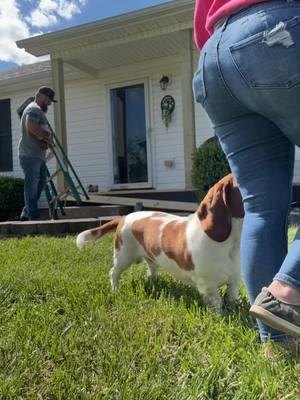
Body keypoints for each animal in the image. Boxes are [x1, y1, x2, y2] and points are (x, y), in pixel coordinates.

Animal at [77, 174, 244, 310]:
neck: (230, 245)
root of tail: (124, 217)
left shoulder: (234, 282)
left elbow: (231, 298)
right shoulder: (208, 287)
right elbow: (217, 305)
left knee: (151, 270)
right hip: (123, 256)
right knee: (114, 272)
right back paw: (115, 290)